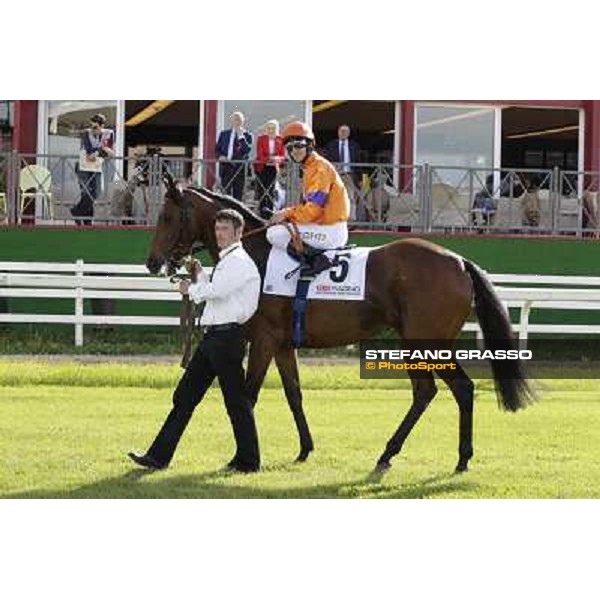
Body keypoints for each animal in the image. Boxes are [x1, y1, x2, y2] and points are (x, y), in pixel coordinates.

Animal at [148, 178, 532, 474]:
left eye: (166, 216)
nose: (152, 262)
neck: (255, 254)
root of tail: (460, 261)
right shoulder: (283, 344)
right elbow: (294, 394)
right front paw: (304, 448)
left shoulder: (263, 339)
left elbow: (248, 394)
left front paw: (241, 458)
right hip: (423, 343)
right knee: (440, 391)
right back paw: (432, 456)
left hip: (424, 342)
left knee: (447, 389)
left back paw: (420, 454)